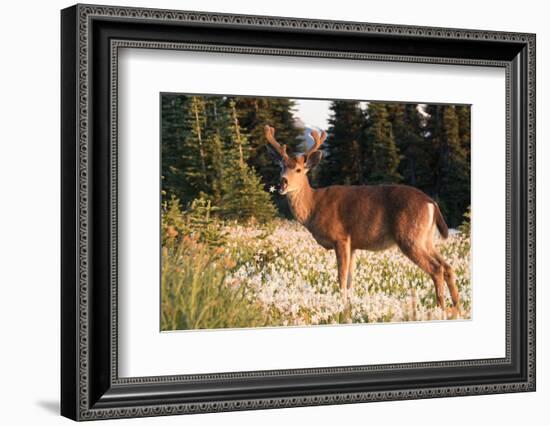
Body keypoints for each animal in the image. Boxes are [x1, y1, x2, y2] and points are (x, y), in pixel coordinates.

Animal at [266, 125, 462, 314]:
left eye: (298, 169)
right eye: (281, 166)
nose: (282, 182)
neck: (314, 206)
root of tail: (432, 203)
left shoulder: (341, 237)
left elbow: (341, 277)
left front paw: (341, 305)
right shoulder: (353, 245)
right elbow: (350, 279)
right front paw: (349, 305)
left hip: (409, 237)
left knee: (437, 269)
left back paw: (440, 308)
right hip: (426, 238)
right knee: (448, 267)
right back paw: (456, 307)